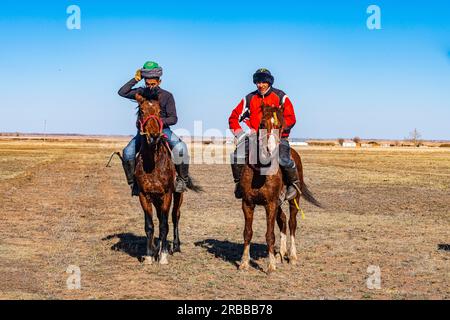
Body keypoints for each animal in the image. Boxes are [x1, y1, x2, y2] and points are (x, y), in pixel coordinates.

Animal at [134, 91, 199, 264]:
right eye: (142, 111)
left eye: (159, 112)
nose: (154, 136)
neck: (152, 163)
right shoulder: (144, 195)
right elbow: (149, 226)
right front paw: (150, 254)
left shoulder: (167, 195)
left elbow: (164, 225)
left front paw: (162, 254)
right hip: (156, 199)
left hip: (177, 196)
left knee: (175, 217)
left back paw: (175, 246)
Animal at [239, 104, 320, 272]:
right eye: (262, 124)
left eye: (281, 126)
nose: (270, 150)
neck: (261, 173)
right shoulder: (247, 203)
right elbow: (247, 232)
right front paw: (244, 262)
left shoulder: (270, 205)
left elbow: (270, 234)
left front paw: (271, 265)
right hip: (279, 203)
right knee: (282, 220)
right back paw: (281, 253)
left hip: (294, 199)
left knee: (292, 223)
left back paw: (292, 256)